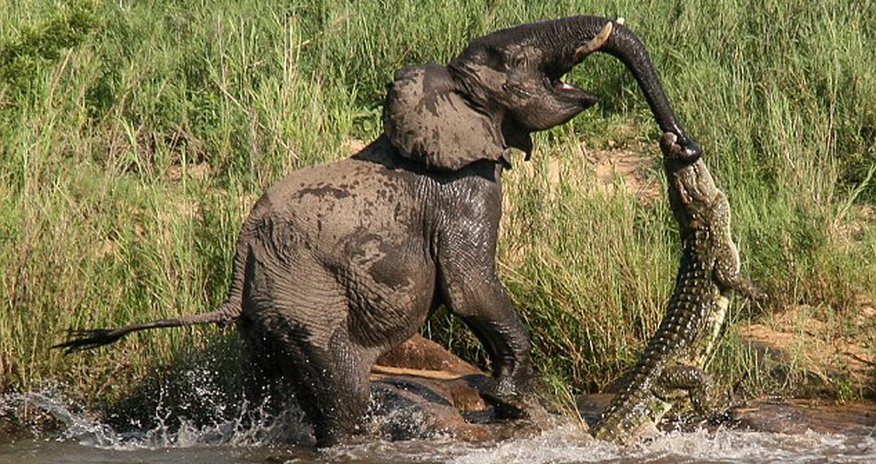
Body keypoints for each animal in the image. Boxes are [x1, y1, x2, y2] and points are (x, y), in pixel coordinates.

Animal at [55, 15, 701, 447]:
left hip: (268, 312)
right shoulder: (464, 189)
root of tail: (243, 255)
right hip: (306, 298)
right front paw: (510, 402)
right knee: (343, 389)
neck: (444, 94)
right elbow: (469, 287)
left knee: (266, 381)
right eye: (503, 57)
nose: (683, 145)